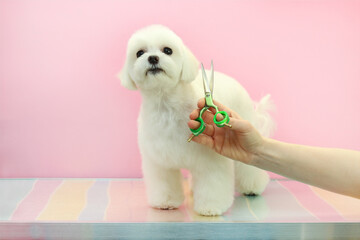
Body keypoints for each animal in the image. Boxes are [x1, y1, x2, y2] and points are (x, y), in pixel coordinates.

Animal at [119, 24, 274, 216]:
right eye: (139, 53)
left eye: (167, 50)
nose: (153, 58)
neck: (166, 104)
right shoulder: (159, 160)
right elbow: (165, 181)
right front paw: (166, 201)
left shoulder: (210, 159)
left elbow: (212, 182)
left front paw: (211, 207)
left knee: (249, 168)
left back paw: (253, 187)